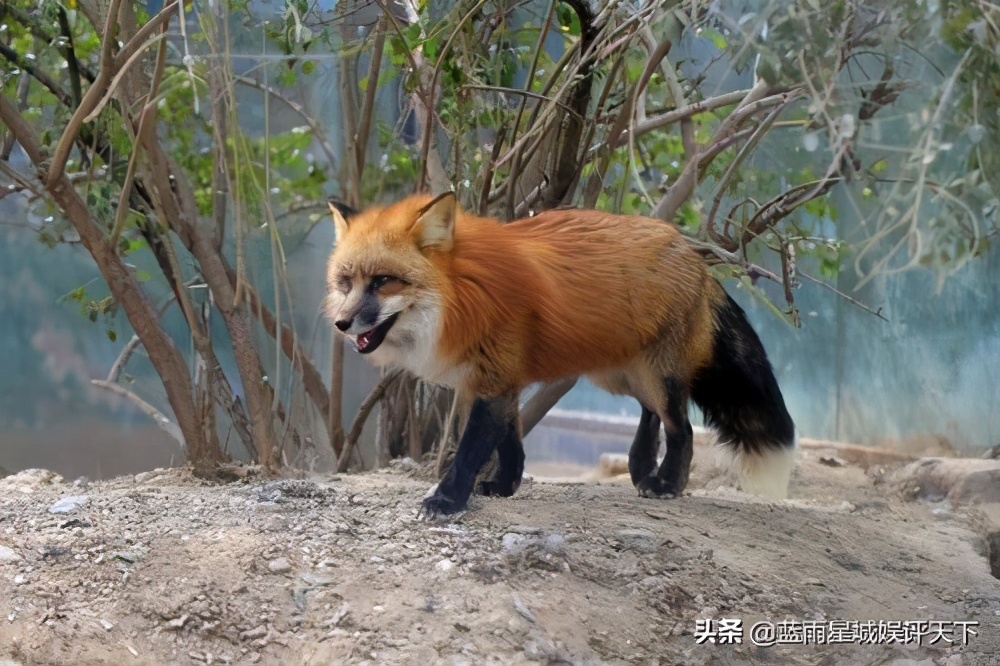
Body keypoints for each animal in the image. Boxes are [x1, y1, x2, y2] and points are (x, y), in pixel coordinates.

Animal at [325, 192, 796, 517]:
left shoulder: (493, 379)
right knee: (652, 414)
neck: (465, 295)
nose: (342, 324)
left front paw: (446, 500)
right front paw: (504, 487)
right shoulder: (496, 380)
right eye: (346, 282)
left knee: (682, 428)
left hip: (656, 375)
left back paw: (666, 484)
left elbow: (470, 451)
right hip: (622, 374)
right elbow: (510, 443)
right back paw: (641, 467)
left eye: (383, 281)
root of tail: (694, 254)